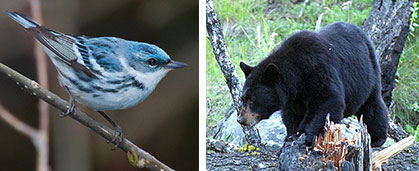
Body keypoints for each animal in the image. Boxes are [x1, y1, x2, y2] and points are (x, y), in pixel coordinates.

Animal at [240, 21, 390, 147]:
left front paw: (307, 135)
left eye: (252, 99)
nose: (241, 119)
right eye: (243, 98)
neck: (296, 75)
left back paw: (378, 138)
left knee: (372, 107)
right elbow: (291, 114)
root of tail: (362, 34)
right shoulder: (292, 97)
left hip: (368, 75)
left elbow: (327, 101)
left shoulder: (318, 69)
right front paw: (291, 135)